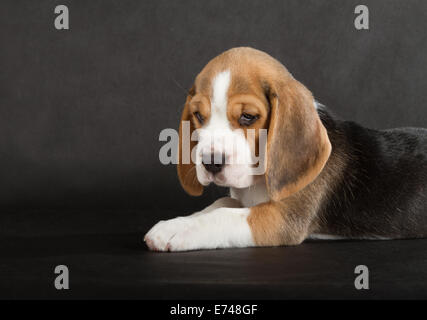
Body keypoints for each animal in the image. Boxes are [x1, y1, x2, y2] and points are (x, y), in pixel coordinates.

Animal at [145, 47, 427, 252]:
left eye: (248, 116)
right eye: (198, 116)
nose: (211, 162)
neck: (257, 182)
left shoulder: (281, 218)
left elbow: (223, 215)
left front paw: (177, 229)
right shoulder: (241, 199)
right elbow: (220, 203)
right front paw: (183, 219)